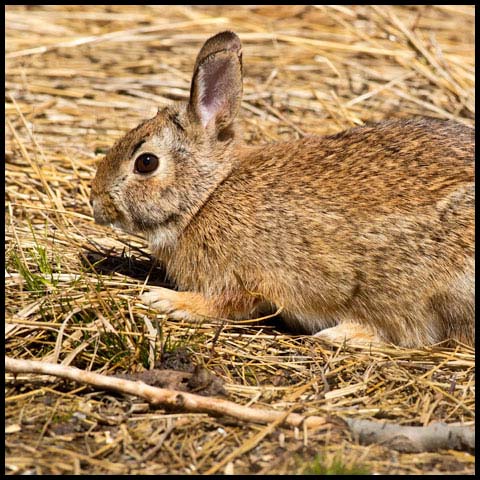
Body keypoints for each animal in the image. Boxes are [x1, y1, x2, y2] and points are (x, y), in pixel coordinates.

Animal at [89, 31, 472, 348]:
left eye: (146, 162)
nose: (96, 202)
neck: (208, 195)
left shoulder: (243, 275)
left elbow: (223, 303)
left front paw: (164, 299)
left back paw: (342, 333)